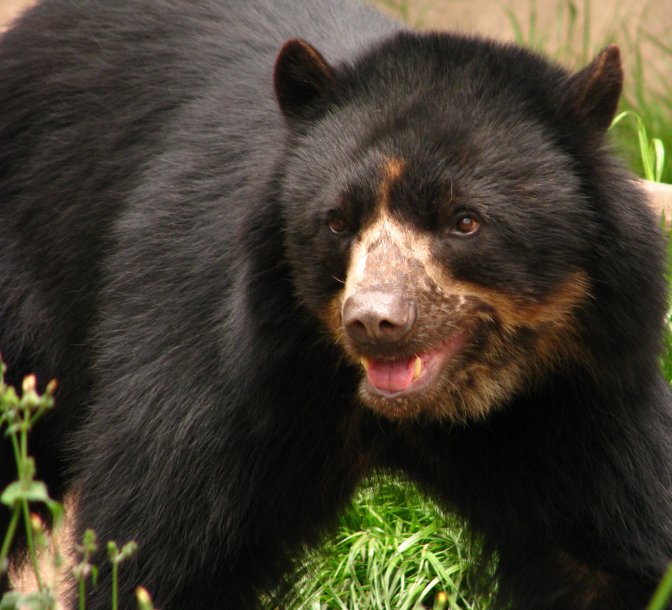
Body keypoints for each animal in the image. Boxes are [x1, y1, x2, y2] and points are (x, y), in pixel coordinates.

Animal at [1, 0, 671, 608]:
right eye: (338, 222)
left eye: (465, 221)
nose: (374, 321)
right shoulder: (218, 358)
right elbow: (160, 550)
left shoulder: (576, 391)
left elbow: (614, 549)